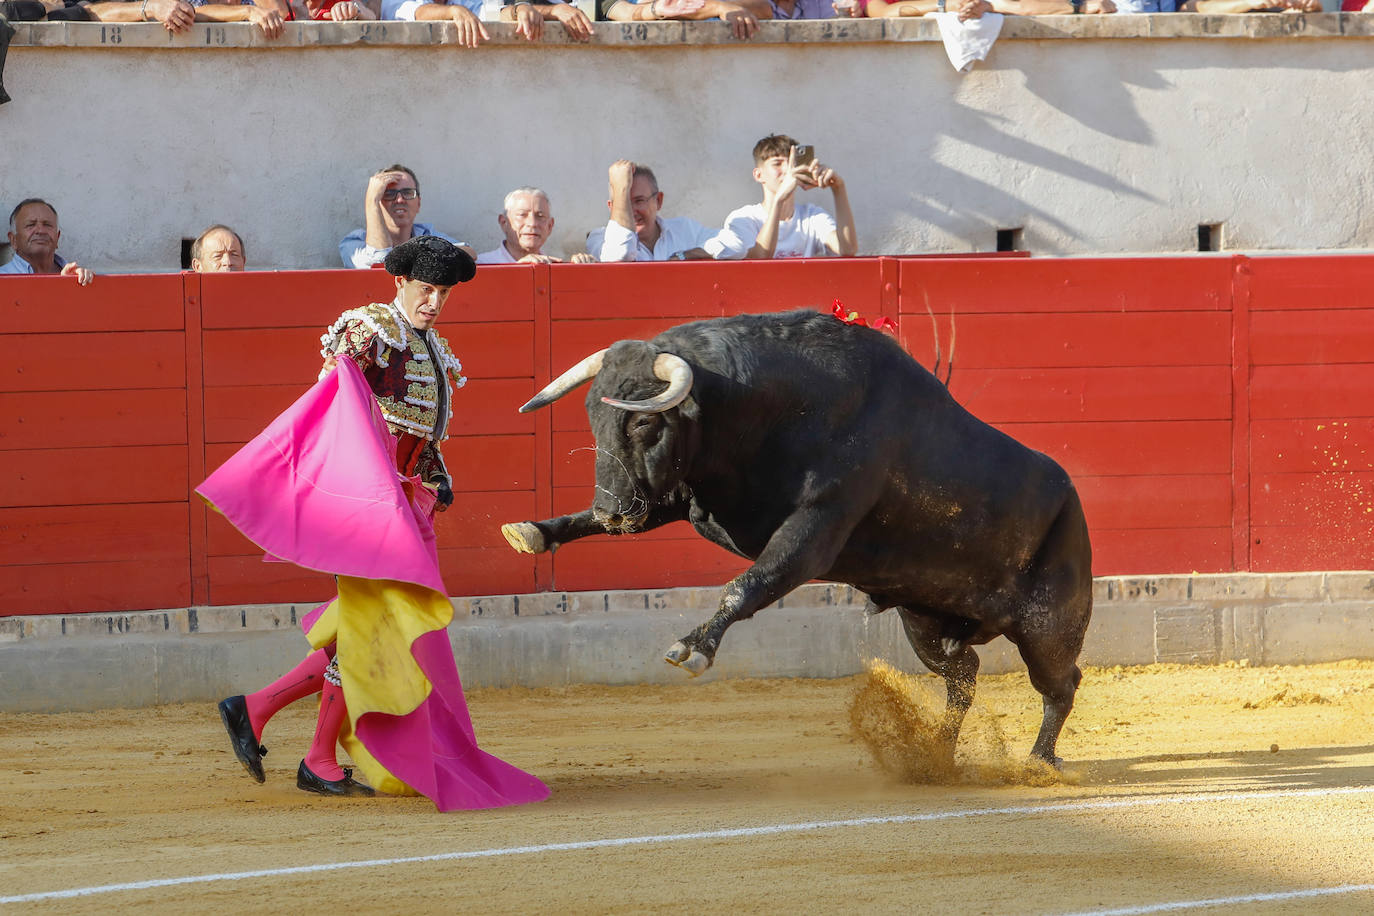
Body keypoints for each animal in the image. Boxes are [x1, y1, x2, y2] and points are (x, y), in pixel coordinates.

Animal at [500, 311, 1088, 763]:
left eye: (643, 424)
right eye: (591, 415)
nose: (611, 511)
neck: (766, 410)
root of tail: (1070, 494)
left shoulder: (817, 529)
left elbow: (749, 584)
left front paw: (693, 648)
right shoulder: (685, 495)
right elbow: (624, 517)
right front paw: (531, 531)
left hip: (1048, 625)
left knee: (1061, 684)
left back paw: (1038, 761)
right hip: (925, 622)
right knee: (963, 676)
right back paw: (939, 753)